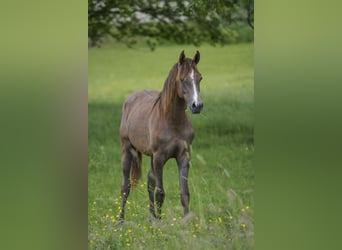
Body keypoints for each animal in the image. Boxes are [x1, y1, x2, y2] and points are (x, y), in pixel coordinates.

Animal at [119, 49, 203, 222]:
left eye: (200, 77)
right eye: (182, 79)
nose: (197, 106)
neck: (172, 120)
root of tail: (130, 98)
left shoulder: (183, 157)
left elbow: (184, 194)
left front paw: (187, 223)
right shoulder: (159, 157)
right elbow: (160, 193)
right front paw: (160, 224)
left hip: (150, 156)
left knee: (150, 183)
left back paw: (151, 218)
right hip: (127, 150)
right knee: (125, 187)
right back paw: (121, 222)